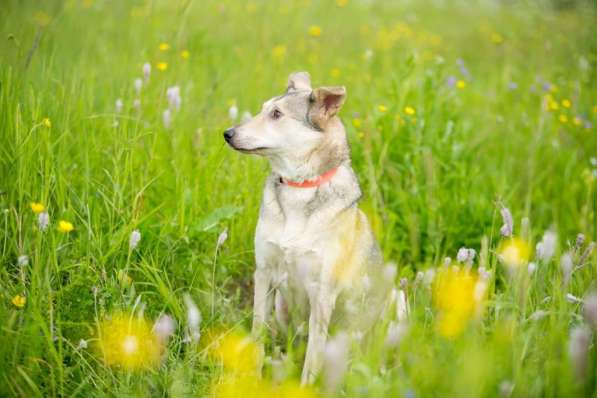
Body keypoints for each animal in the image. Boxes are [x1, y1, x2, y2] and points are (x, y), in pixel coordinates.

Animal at [224, 72, 392, 386]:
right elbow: (257, 332)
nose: (227, 133)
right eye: (263, 109)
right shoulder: (264, 272)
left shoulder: (322, 293)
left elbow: (313, 359)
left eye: (276, 114)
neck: (299, 188)